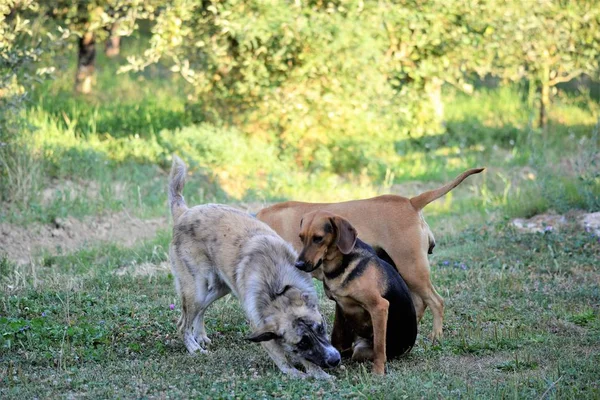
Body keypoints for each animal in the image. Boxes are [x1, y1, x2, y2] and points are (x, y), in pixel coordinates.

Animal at [255, 168, 486, 340]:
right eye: (301, 237)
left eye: (318, 239)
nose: (300, 264)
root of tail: (411, 202)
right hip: (405, 269)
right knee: (421, 303)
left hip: (412, 268)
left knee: (436, 302)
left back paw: (436, 336)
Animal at [296, 209, 418, 376]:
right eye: (301, 237)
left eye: (318, 239)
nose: (298, 265)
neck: (339, 265)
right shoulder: (340, 306)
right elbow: (337, 337)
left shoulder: (379, 307)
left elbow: (379, 347)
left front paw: (378, 372)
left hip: (364, 348)